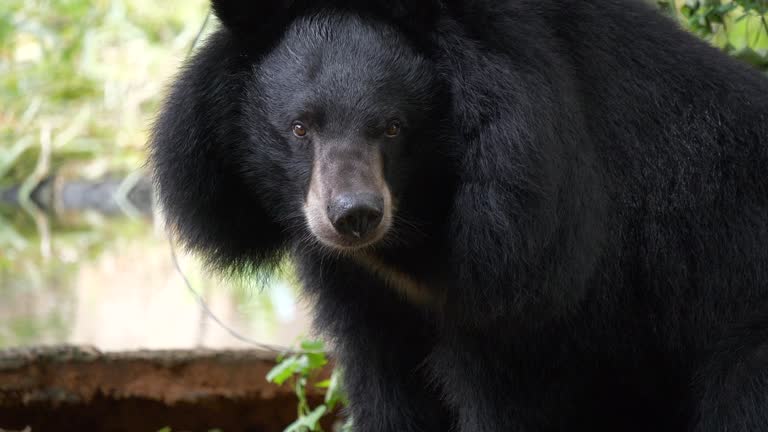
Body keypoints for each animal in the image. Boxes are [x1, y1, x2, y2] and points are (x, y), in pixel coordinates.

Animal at [148, 0, 768, 432]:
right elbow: (388, 392)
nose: (353, 216)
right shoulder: (368, 301)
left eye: (392, 127)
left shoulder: (539, 275)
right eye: (301, 127)